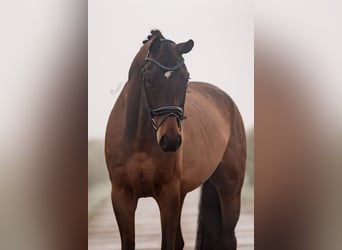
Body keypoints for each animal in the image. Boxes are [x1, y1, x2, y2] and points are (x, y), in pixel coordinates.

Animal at [105, 29, 246, 250]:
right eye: (148, 79)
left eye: (185, 78)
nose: (170, 140)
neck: (139, 142)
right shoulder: (122, 196)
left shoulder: (168, 195)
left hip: (230, 189)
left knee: (228, 239)